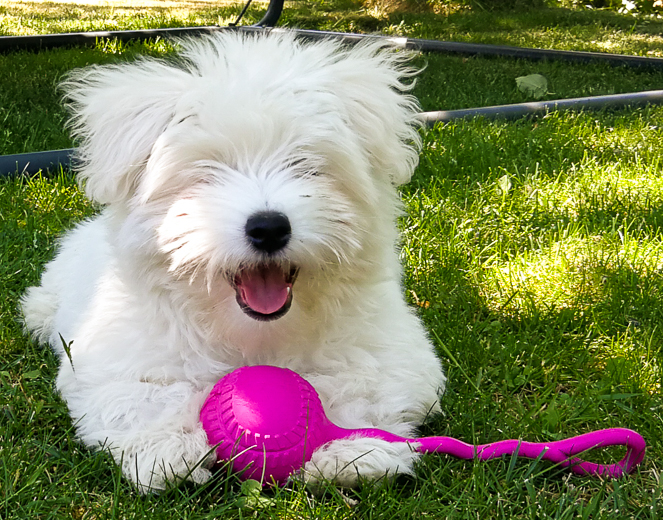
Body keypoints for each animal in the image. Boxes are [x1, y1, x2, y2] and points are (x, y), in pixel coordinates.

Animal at [22, 30, 446, 494]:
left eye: (305, 166)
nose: (269, 227)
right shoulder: (113, 354)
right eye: (208, 172)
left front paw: (352, 449)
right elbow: (143, 392)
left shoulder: (390, 348)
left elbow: (365, 383)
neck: (253, 334)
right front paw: (166, 449)